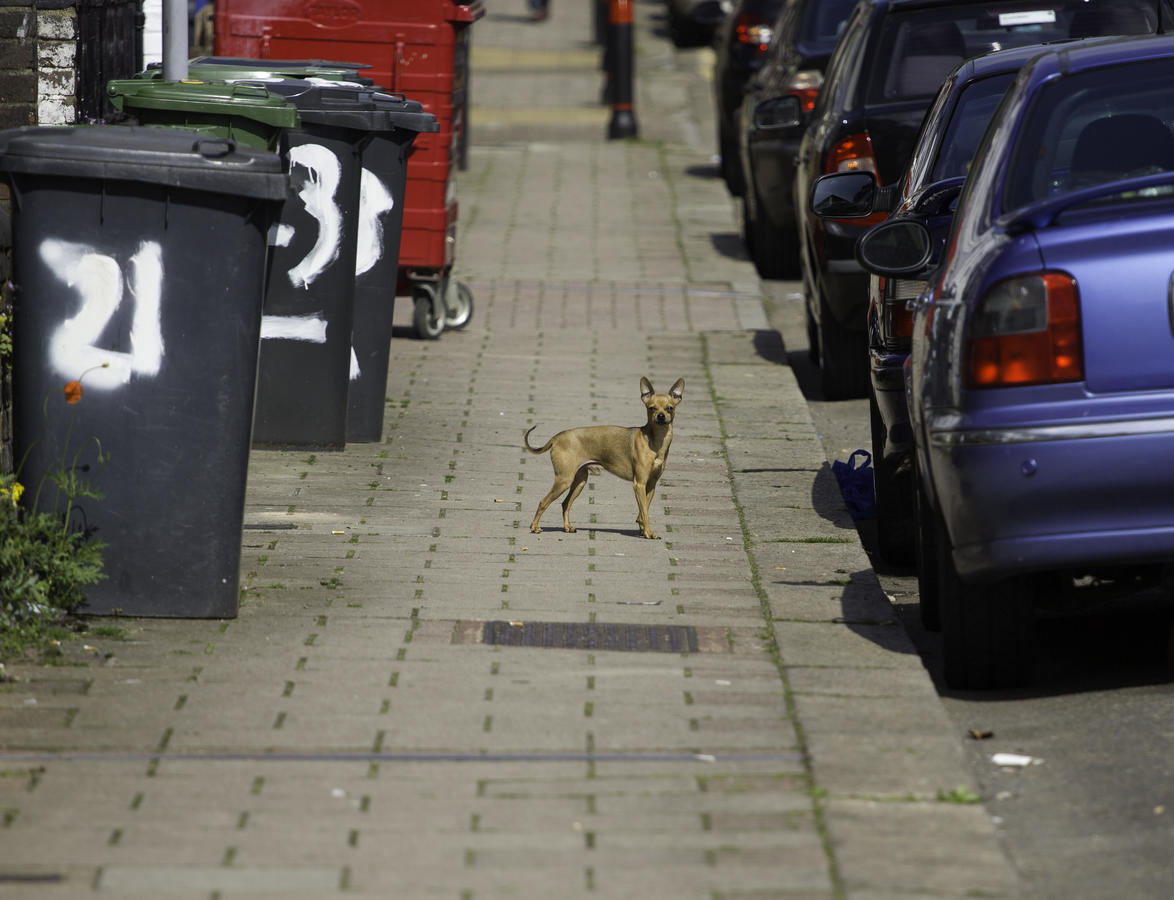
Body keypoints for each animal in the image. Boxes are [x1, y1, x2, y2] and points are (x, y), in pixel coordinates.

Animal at [525, 375, 685, 539]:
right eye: (652, 408)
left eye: (669, 408)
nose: (661, 416)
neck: (655, 441)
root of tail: (557, 437)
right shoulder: (639, 484)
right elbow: (645, 512)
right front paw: (647, 532)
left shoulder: (651, 484)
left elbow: (644, 509)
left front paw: (642, 528)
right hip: (564, 480)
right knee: (543, 502)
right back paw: (535, 527)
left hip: (579, 481)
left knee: (565, 503)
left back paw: (567, 527)